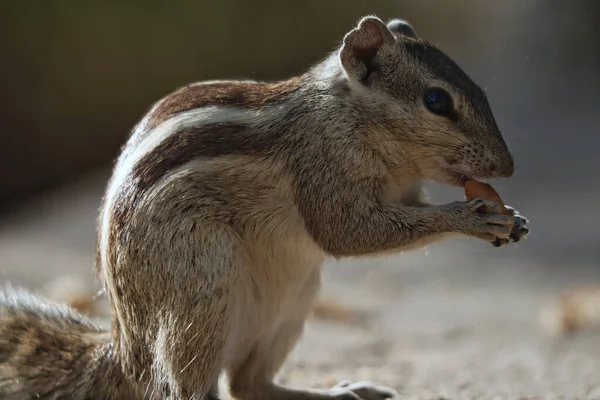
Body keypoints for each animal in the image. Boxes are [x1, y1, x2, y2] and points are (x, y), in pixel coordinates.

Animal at [0, 16, 528, 400]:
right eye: (436, 100)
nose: (506, 165)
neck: (351, 116)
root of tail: (127, 353)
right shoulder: (323, 165)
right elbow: (347, 233)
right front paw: (471, 217)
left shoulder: (401, 192)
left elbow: (406, 211)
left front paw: (513, 218)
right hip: (204, 289)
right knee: (188, 389)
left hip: (291, 299)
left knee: (248, 385)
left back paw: (340, 393)